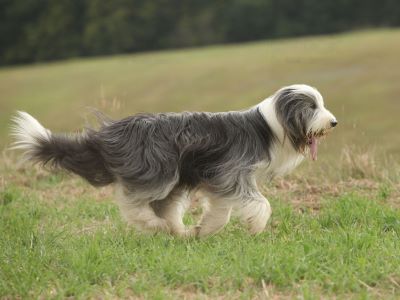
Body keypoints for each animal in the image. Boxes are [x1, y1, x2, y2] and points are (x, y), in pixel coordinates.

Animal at [10, 84, 338, 237]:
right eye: (312, 106)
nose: (334, 122)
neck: (268, 126)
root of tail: (113, 132)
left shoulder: (218, 178)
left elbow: (221, 210)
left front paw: (204, 230)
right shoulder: (231, 171)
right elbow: (259, 203)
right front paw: (256, 224)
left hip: (174, 178)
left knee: (162, 207)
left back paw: (177, 231)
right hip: (159, 171)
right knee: (134, 204)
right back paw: (154, 225)